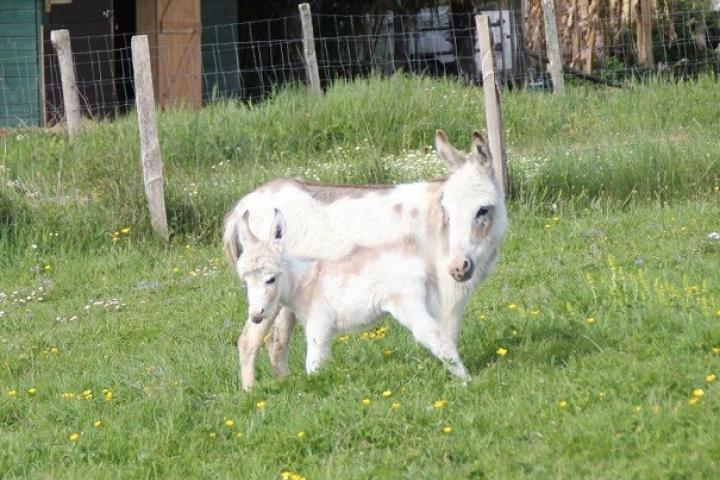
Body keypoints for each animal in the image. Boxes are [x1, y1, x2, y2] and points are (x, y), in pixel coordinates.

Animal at [236, 208, 470, 384]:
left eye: (271, 279)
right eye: (246, 282)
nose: (256, 315)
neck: (303, 282)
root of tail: (420, 261)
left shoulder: (318, 324)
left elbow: (313, 362)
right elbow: (323, 360)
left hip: (407, 304)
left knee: (432, 334)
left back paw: (465, 381)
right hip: (430, 301)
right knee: (444, 331)